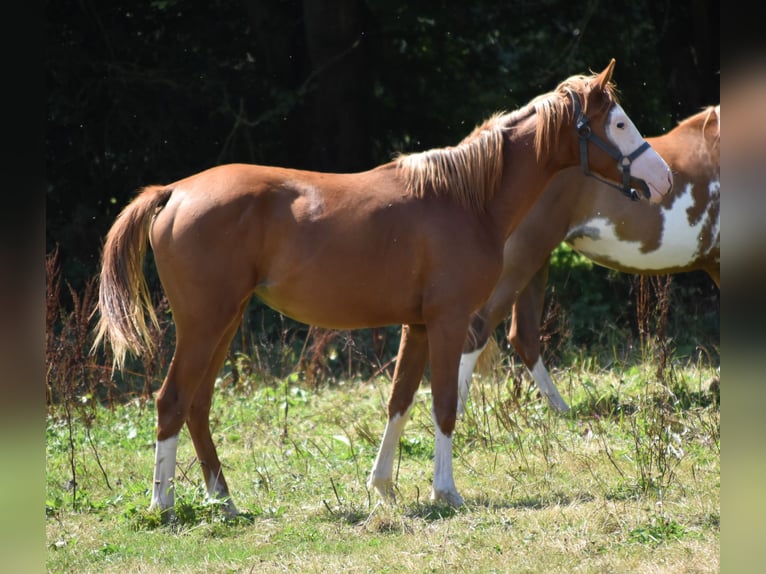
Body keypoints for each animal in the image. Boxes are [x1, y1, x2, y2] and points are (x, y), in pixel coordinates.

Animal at [94, 60, 672, 516]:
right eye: (619, 122)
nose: (663, 179)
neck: (464, 198)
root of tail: (174, 191)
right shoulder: (447, 321)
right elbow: (444, 404)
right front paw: (445, 492)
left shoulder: (417, 326)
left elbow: (399, 401)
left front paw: (383, 485)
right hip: (204, 324)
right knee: (172, 400)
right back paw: (163, 505)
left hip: (225, 321)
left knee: (197, 404)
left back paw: (223, 500)